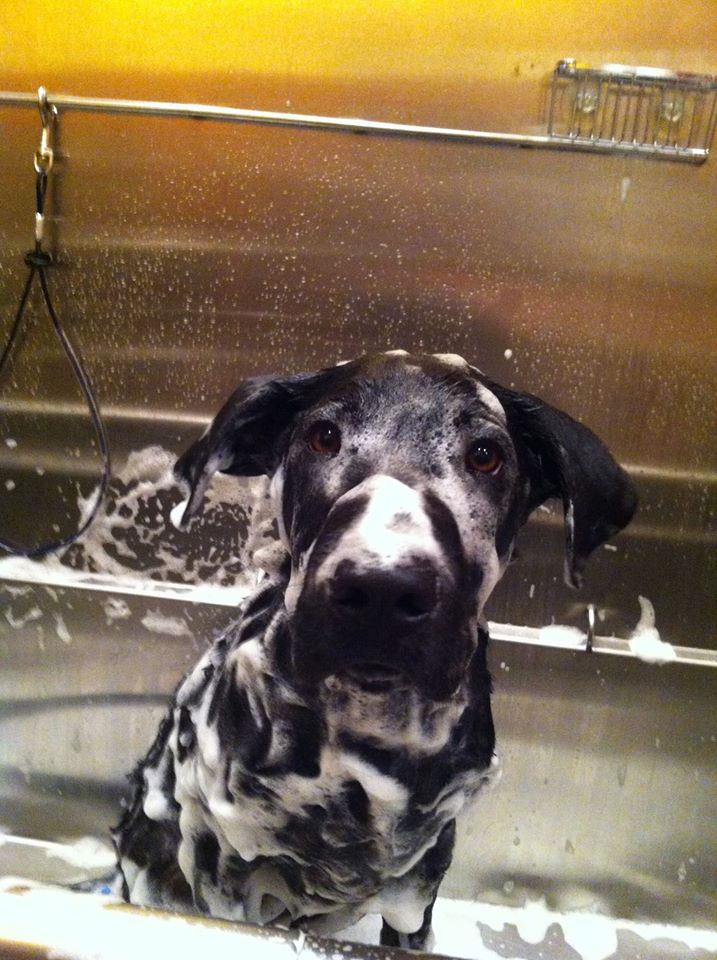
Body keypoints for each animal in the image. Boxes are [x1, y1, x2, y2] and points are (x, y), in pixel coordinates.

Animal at [113, 350, 636, 948]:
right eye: (323, 437)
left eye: (485, 456)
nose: (382, 591)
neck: (363, 730)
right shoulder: (224, 878)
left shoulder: (416, 892)